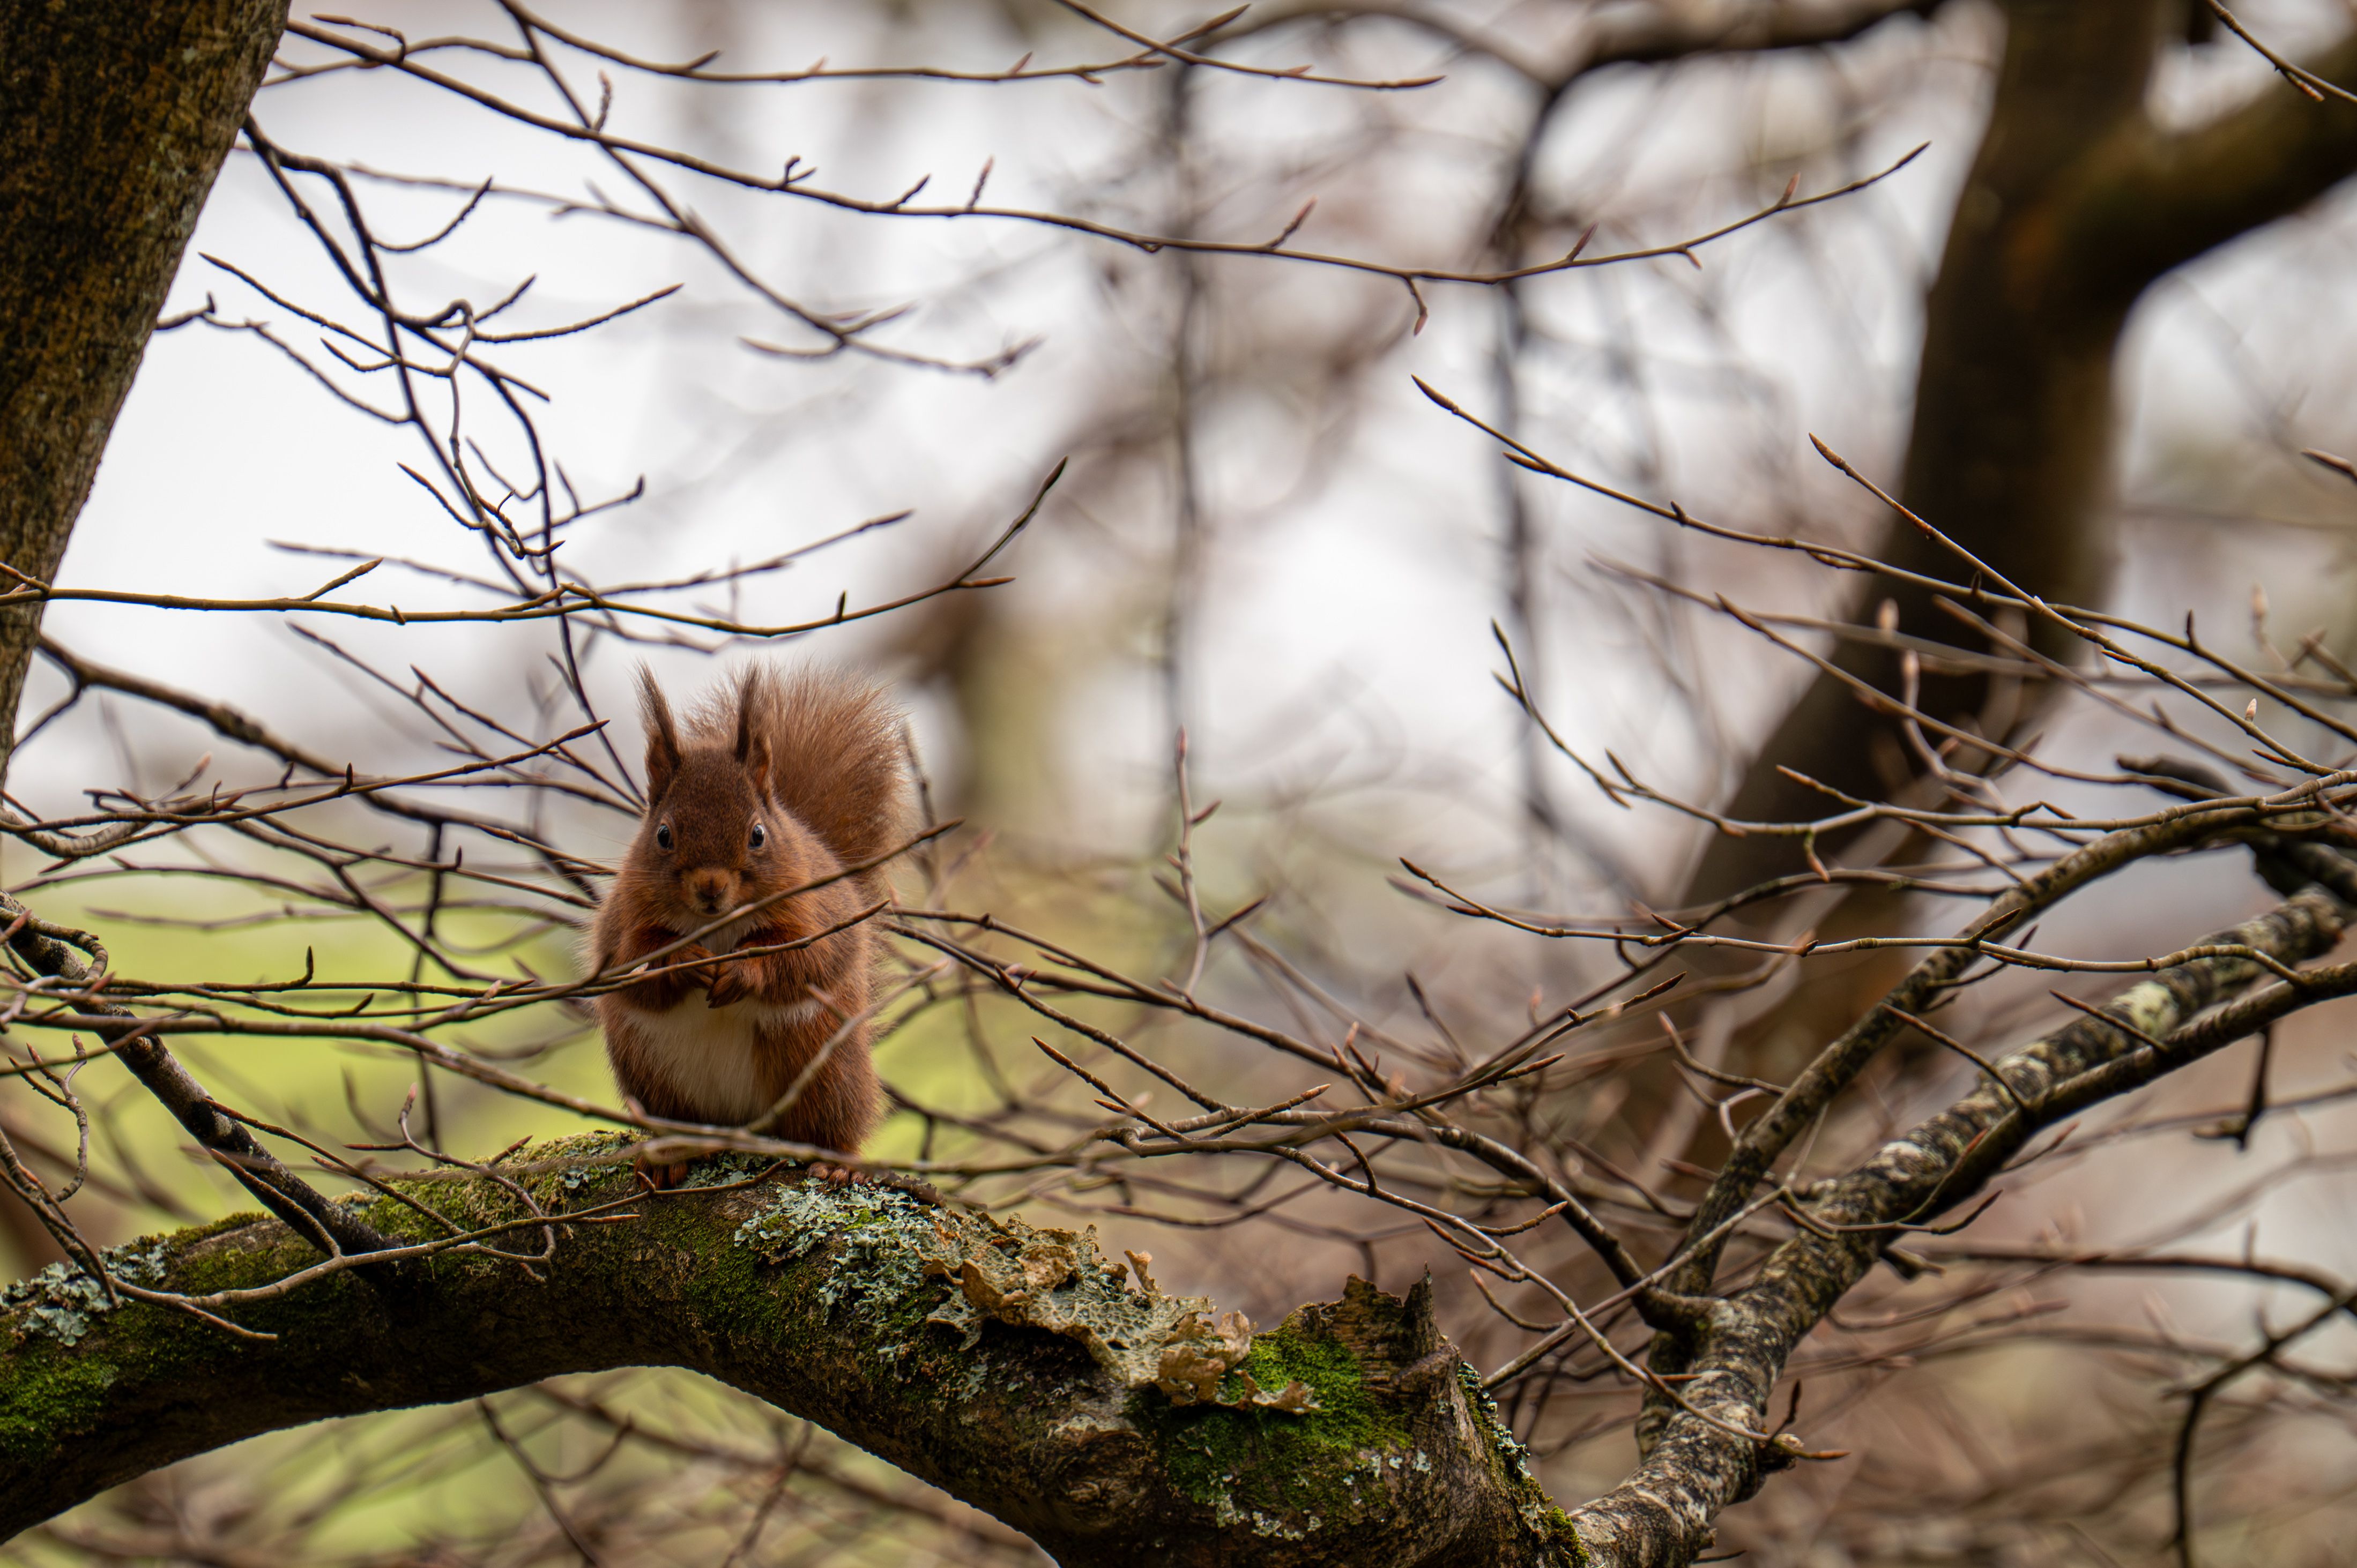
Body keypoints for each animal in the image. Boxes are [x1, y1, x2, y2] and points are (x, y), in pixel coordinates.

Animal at [588, 664, 909, 1183]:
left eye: (758, 834)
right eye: (663, 835)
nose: (711, 886)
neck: (716, 925)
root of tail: (738, 1125)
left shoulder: (817, 914)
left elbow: (809, 961)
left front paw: (743, 971)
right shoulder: (621, 923)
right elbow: (630, 972)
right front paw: (683, 960)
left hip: (828, 1072)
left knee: (830, 1123)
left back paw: (836, 1161)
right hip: (653, 1080)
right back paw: (668, 1156)